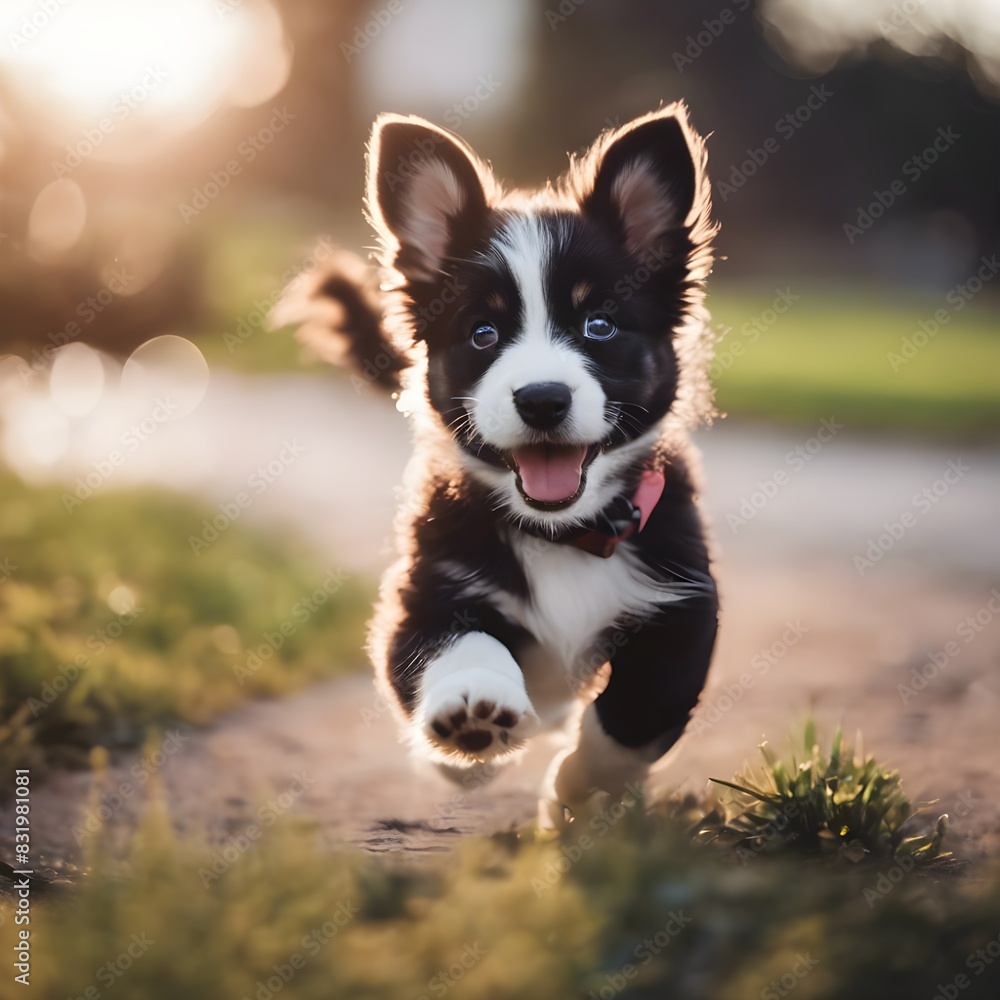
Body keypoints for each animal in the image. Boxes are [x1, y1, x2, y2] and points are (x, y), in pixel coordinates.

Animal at [278, 101, 724, 828]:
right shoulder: (423, 591)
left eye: (600, 325)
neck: (564, 535)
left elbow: (635, 717)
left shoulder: (684, 607)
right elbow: (454, 647)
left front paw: (577, 789)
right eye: (482, 333)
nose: (542, 398)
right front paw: (469, 727)